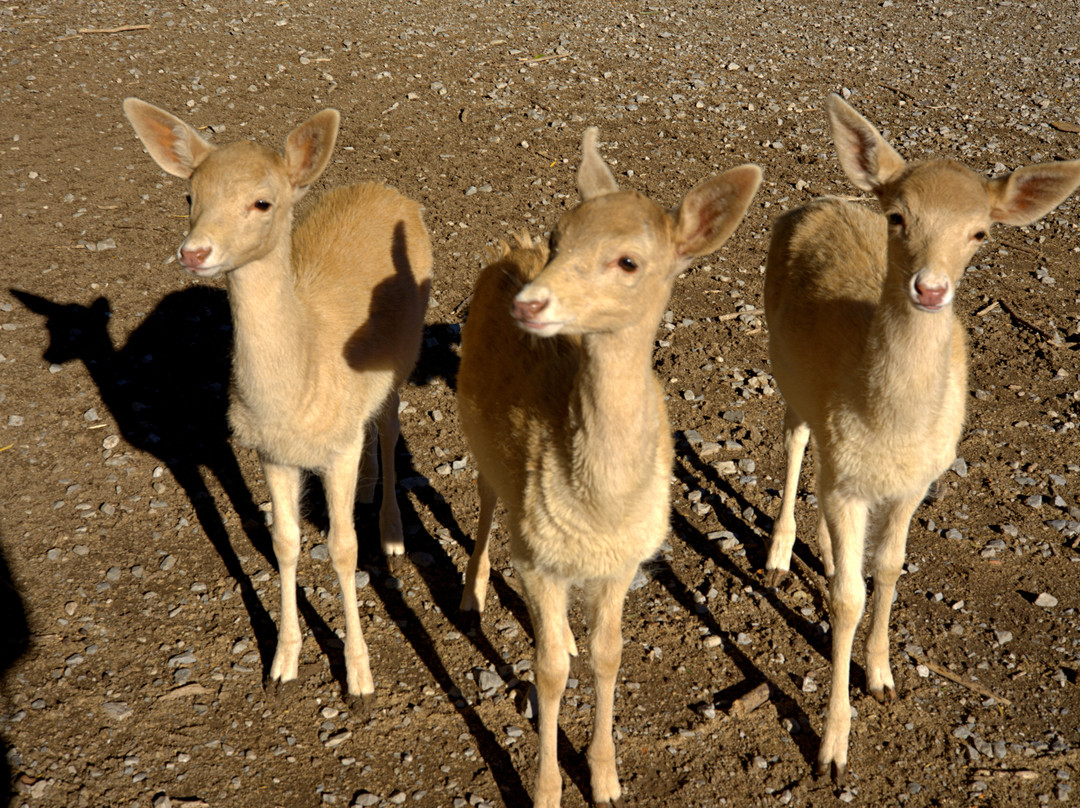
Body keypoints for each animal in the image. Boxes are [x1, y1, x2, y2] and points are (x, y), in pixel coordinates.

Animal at [122, 98, 433, 708]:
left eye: (262, 202)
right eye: (189, 196)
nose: (195, 251)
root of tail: (388, 191)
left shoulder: (334, 448)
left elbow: (342, 548)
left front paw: (358, 675)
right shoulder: (269, 451)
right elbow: (285, 542)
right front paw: (282, 662)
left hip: (403, 357)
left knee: (386, 428)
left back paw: (390, 531)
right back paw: (366, 492)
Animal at [456, 127, 761, 807]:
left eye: (628, 262)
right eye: (558, 237)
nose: (530, 303)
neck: (599, 505)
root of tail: (506, 252)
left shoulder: (624, 560)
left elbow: (607, 656)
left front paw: (605, 777)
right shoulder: (536, 553)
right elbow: (547, 672)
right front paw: (545, 789)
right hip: (479, 438)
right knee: (487, 501)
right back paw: (471, 593)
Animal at [762, 93, 1080, 783]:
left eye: (980, 232)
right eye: (898, 217)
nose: (931, 289)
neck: (890, 427)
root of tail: (824, 198)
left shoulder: (915, 481)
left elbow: (888, 569)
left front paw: (881, 675)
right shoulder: (849, 479)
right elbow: (846, 601)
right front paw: (832, 748)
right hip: (784, 369)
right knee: (795, 443)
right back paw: (779, 551)